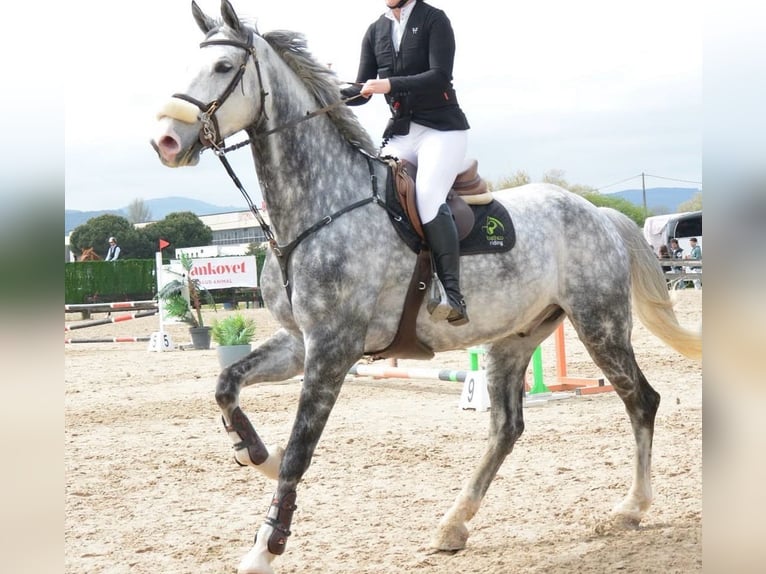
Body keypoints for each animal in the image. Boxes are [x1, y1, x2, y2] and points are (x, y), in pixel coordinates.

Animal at [150, 2, 701, 573]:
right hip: (514, 338)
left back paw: (631, 508)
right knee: (506, 428)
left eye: (222, 68)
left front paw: (265, 546)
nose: (165, 140)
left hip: (600, 323)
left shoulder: (333, 348)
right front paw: (257, 454)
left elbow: (301, 448)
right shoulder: (300, 342)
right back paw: (453, 524)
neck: (320, 207)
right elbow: (227, 384)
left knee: (641, 400)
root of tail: (596, 212)